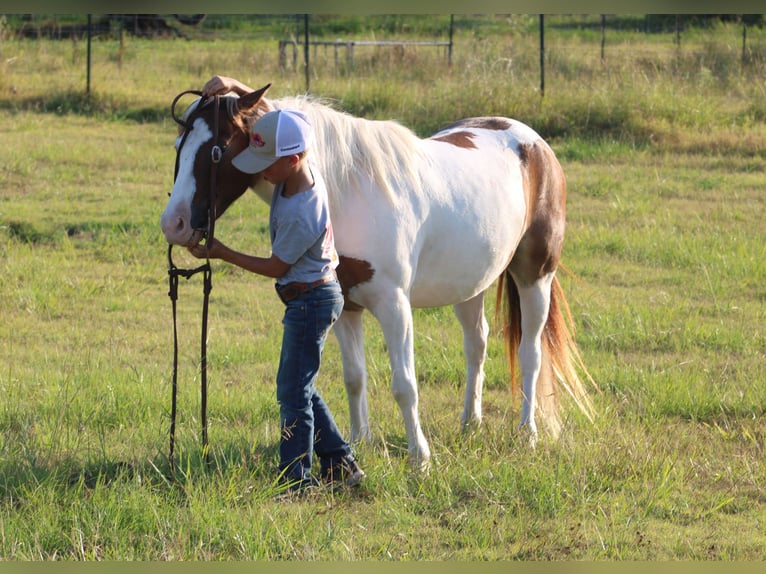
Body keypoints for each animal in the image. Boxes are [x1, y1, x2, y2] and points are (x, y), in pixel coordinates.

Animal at [160, 84, 595, 468]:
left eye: (216, 149)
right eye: (179, 145)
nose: (173, 224)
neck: (345, 192)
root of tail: (531, 141)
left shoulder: (394, 306)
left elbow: (405, 385)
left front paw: (420, 458)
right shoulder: (346, 306)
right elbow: (355, 377)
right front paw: (359, 443)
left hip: (534, 276)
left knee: (530, 353)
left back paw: (528, 433)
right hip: (470, 284)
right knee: (477, 344)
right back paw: (470, 423)